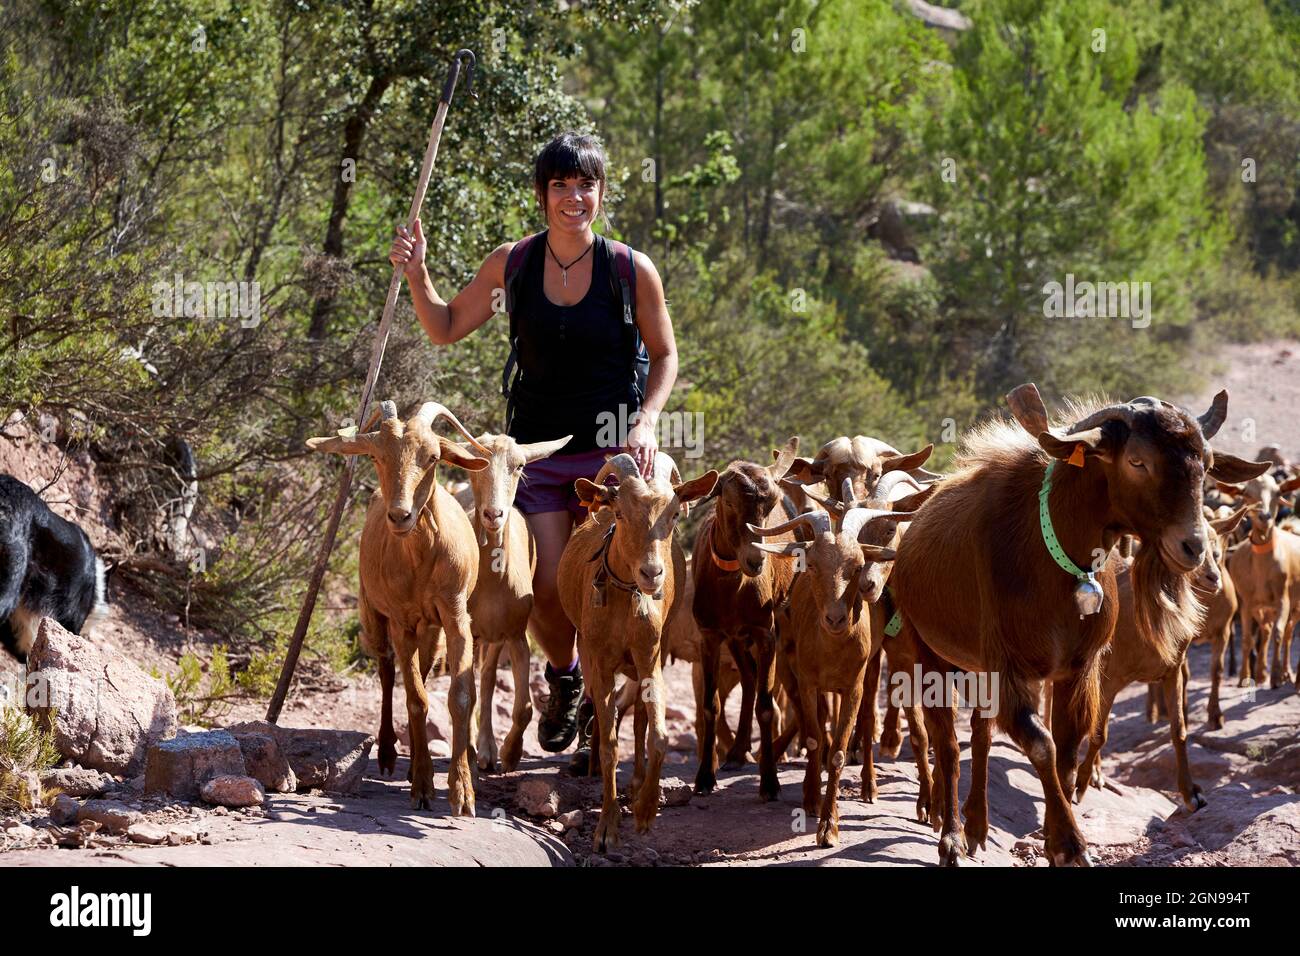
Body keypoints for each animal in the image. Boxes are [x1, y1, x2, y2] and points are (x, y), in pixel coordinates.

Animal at [305, 400, 491, 811]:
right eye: (376, 456)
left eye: (434, 457)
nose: (400, 516)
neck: (421, 561)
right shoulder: (401, 621)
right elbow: (416, 698)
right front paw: (422, 785)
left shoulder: (455, 616)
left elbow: (459, 696)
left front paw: (462, 790)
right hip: (372, 613)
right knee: (388, 673)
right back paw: (390, 753)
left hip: (432, 629)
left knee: (420, 668)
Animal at [559, 455, 722, 853]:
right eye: (620, 513)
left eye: (675, 514)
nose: (652, 574)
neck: (625, 603)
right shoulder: (599, 661)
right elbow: (608, 743)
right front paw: (606, 827)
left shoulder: (651, 656)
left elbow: (658, 734)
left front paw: (646, 811)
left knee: (639, 719)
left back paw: (635, 785)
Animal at [691, 439, 800, 801]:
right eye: (728, 499)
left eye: (772, 503)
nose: (756, 561)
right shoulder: (710, 634)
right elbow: (709, 705)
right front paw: (704, 778)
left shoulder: (765, 632)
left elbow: (766, 706)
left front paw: (770, 781)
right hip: (735, 638)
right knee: (750, 680)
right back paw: (738, 752)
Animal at [889, 382, 1263, 868]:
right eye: (1137, 461)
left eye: (1208, 464)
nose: (1194, 548)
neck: (1053, 559)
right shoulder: (1010, 670)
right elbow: (1042, 745)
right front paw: (1069, 843)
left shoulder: (1078, 669)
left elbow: (1066, 751)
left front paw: (1054, 839)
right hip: (930, 653)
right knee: (949, 743)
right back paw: (951, 836)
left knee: (980, 734)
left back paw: (976, 826)